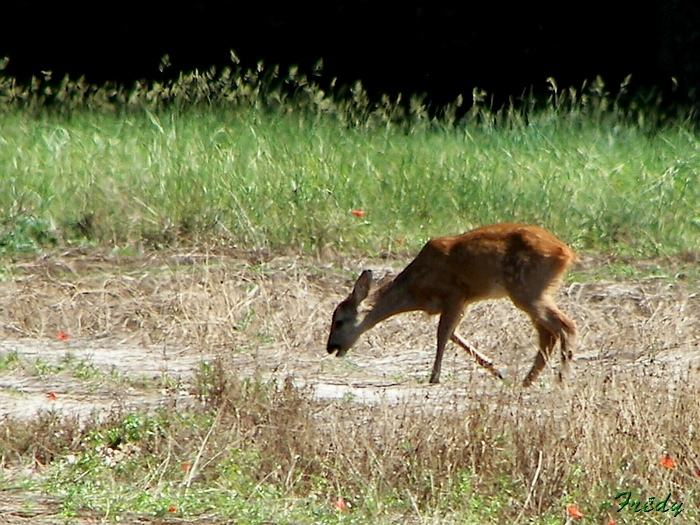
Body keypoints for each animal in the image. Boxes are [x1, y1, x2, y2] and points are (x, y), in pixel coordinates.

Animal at [328, 222, 580, 384]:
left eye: (339, 321)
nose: (330, 348)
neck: (416, 290)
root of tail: (567, 253)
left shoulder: (455, 293)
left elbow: (442, 333)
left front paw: (434, 377)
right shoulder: (461, 302)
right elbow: (453, 335)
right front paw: (495, 369)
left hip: (527, 289)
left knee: (566, 326)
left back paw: (560, 381)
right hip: (534, 291)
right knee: (549, 333)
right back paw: (528, 380)